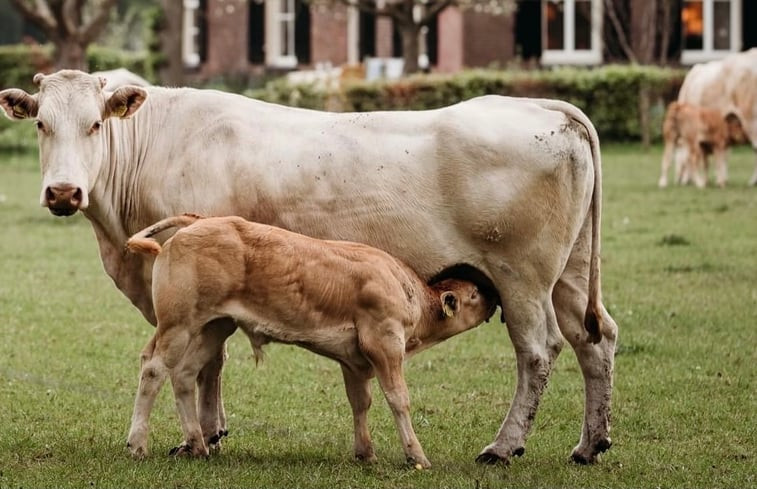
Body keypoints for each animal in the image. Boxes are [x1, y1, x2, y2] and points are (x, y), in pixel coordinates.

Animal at [0, 69, 620, 466]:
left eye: (95, 125)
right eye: (41, 125)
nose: (63, 191)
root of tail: (541, 106)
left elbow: (205, 361)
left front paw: (203, 435)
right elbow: (207, 361)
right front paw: (208, 433)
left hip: (522, 279)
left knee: (538, 351)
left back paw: (503, 446)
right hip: (569, 274)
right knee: (596, 340)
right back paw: (590, 444)